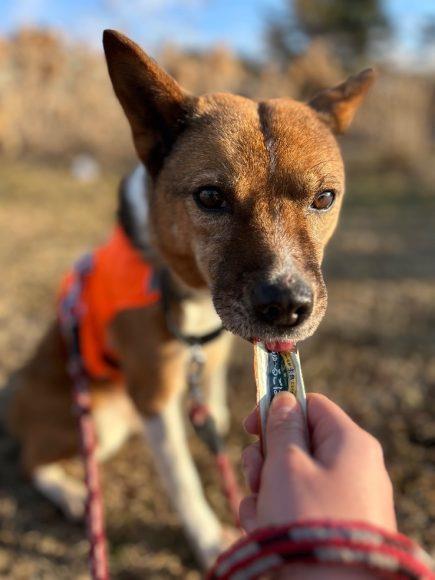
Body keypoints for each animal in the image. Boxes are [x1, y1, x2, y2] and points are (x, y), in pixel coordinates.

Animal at [5, 30, 375, 567]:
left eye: (324, 198)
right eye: (210, 197)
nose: (286, 308)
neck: (188, 287)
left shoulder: (216, 357)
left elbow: (214, 405)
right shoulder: (154, 395)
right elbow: (181, 479)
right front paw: (207, 538)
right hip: (98, 419)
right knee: (32, 460)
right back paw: (71, 492)